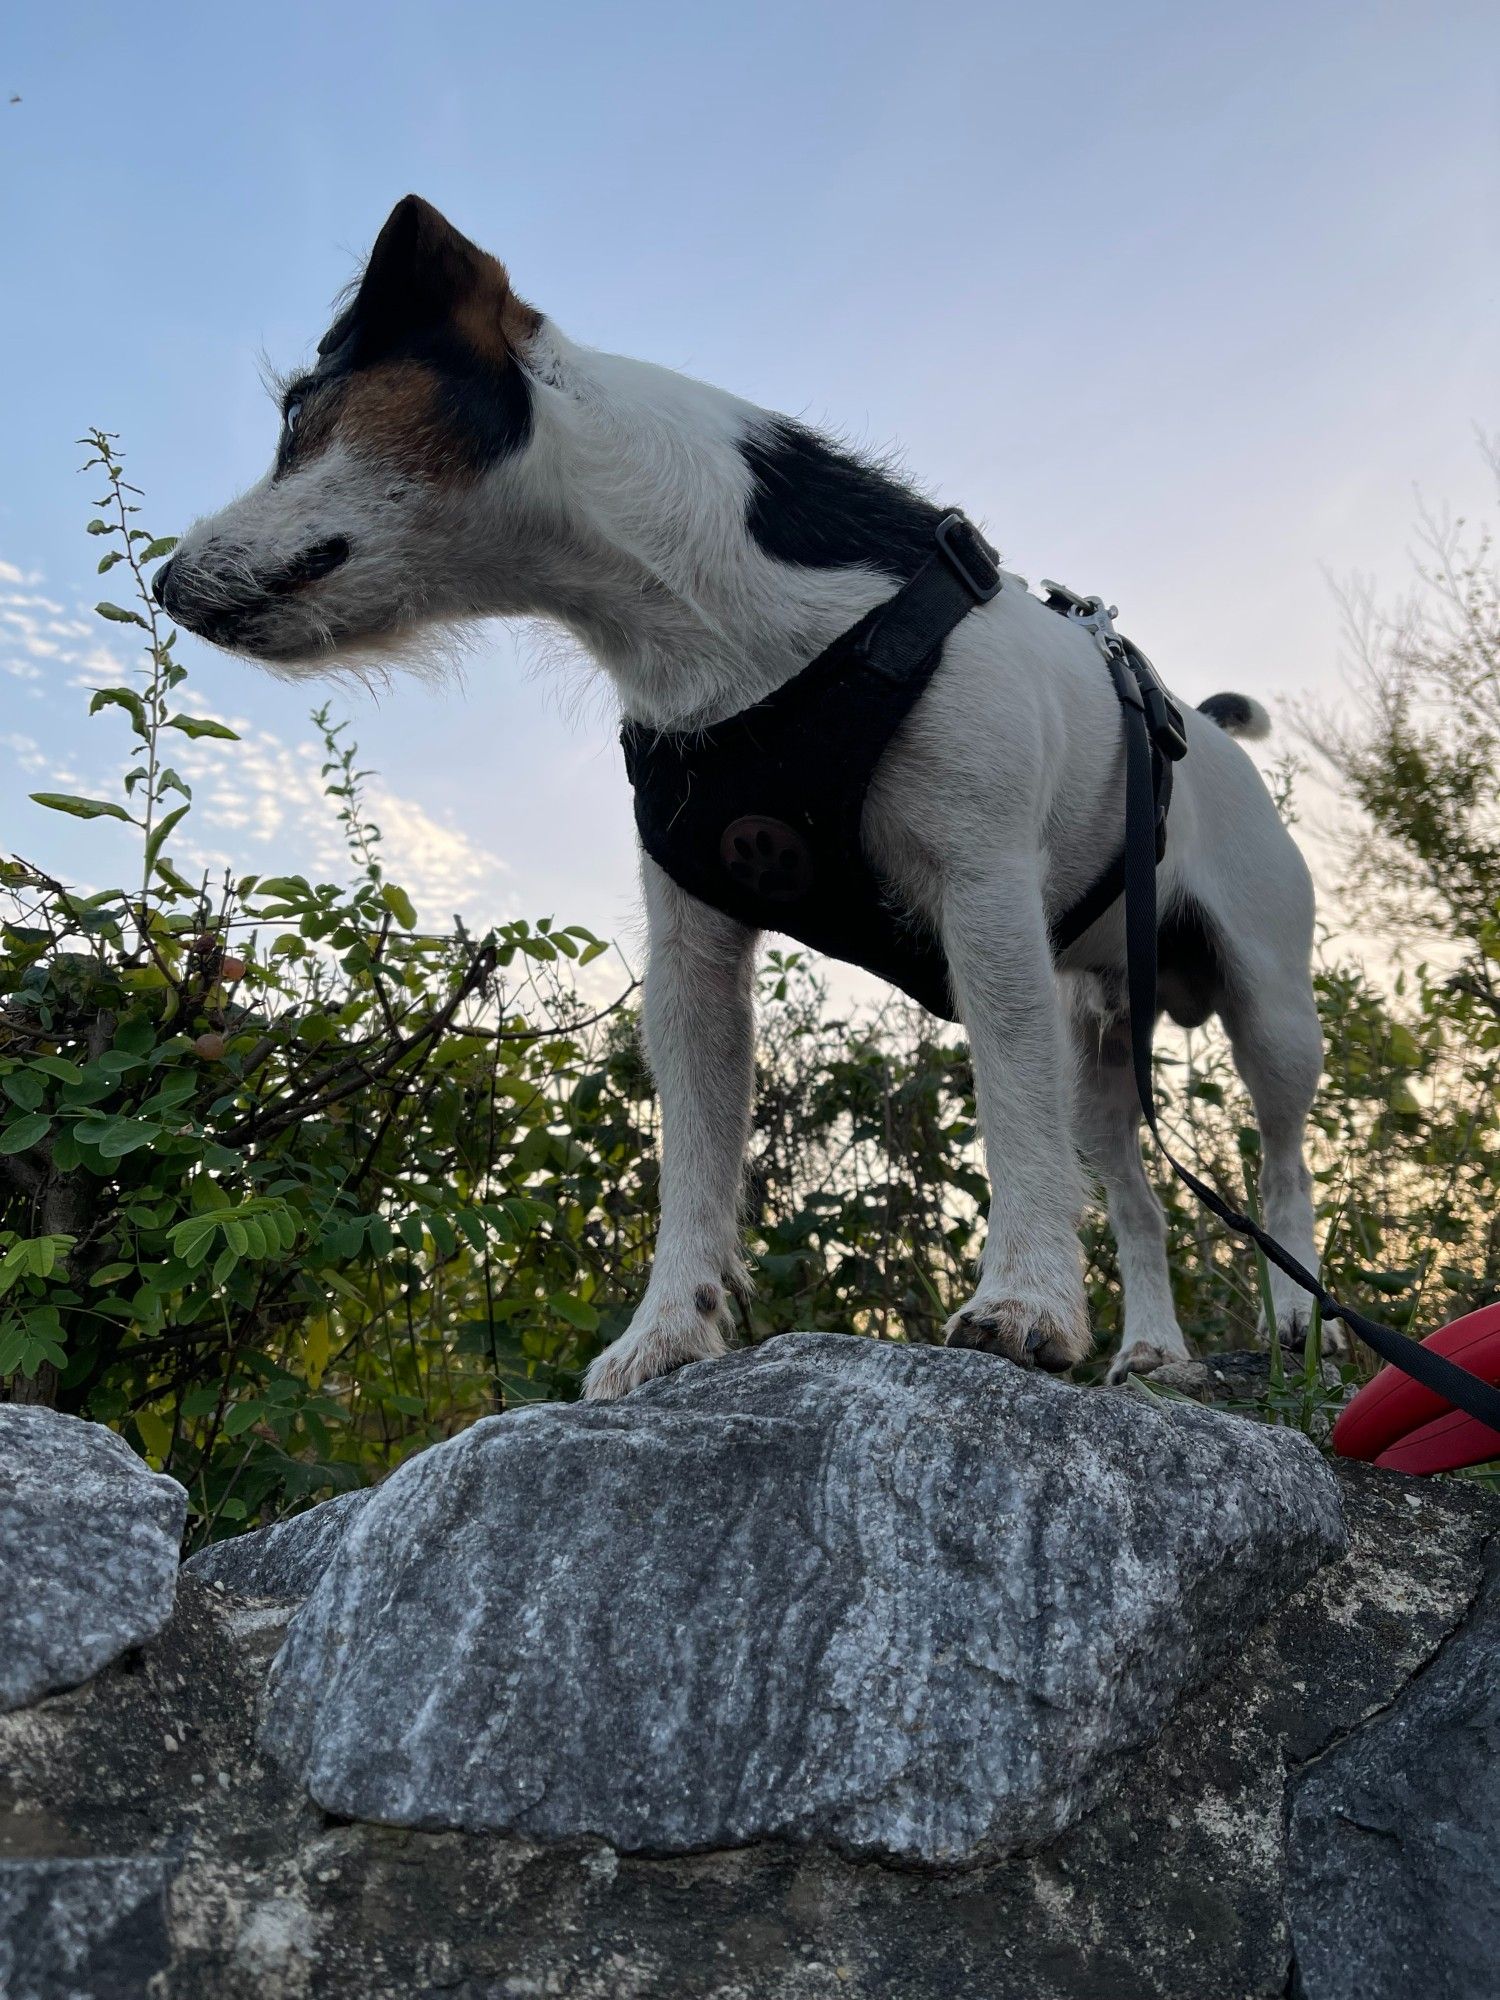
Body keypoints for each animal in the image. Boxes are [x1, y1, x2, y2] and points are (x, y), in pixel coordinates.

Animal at [156, 195, 1328, 1400]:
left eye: (300, 410)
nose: (164, 581)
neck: (716, 627)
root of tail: (1201, 729)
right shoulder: (695, 943)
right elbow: (698, 1153)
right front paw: (666, 1332)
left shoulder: (987, 896)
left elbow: (1011, 1113)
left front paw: (1024, 1305)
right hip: (1099, 1045)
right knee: (1139, 1202)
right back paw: (1156, 1352)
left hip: (1272, 1007)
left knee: (1285, 1167)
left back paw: (1299, 1323)